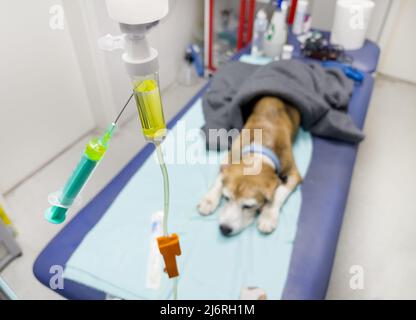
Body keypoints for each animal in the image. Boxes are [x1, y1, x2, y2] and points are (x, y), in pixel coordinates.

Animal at [198, 96, 302, 236]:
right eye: (226, 198)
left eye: (248, 206)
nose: (224, 229)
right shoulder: (229, 158)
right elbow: (219, 180)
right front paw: (208, 200)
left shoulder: (293, 173)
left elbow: (279, 192)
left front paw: (268, 216)